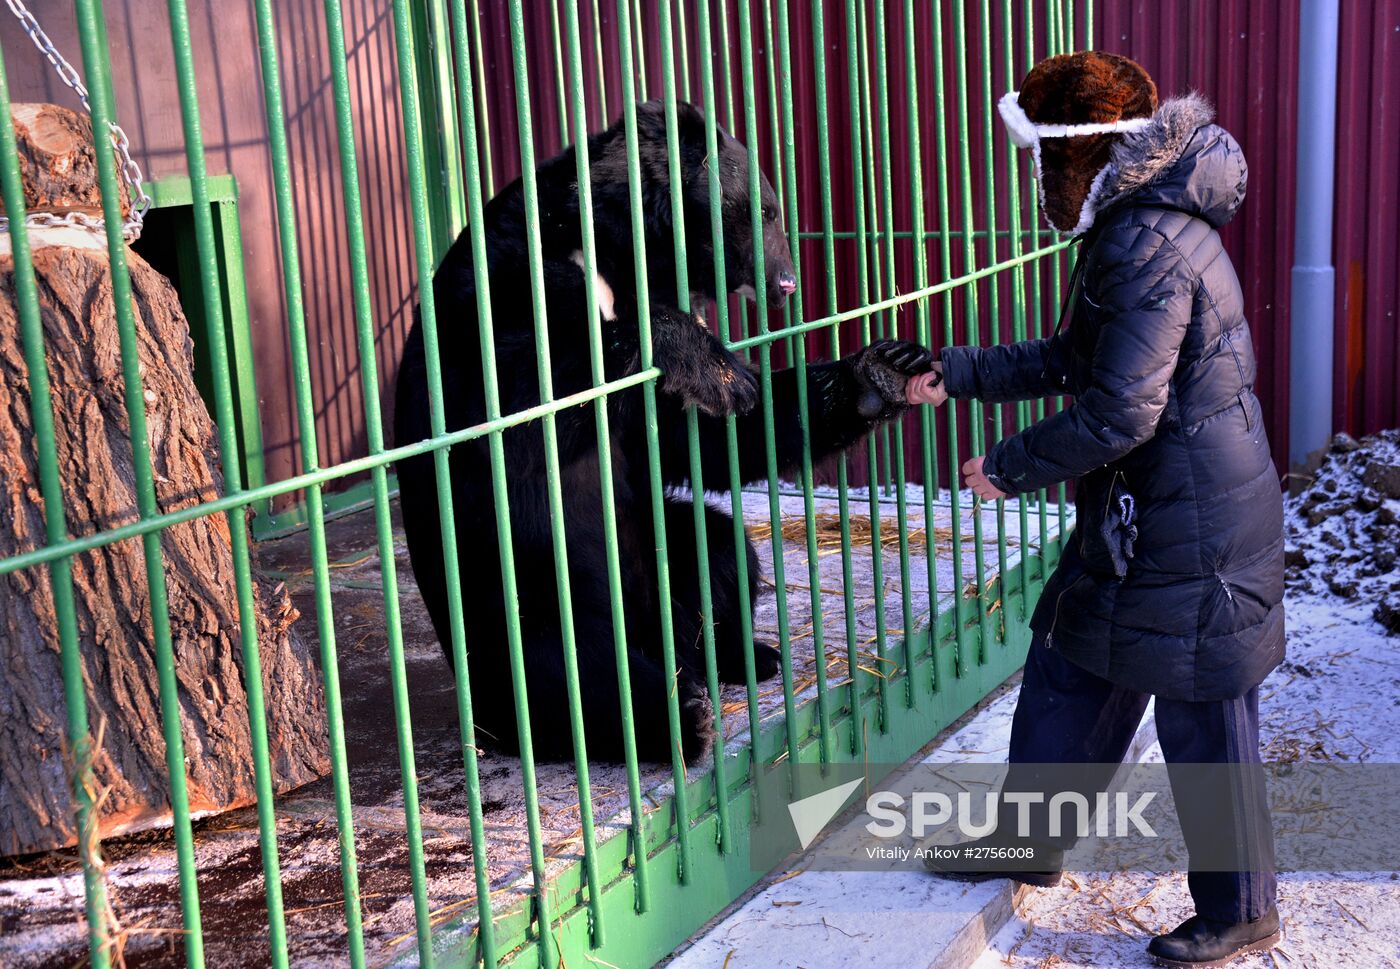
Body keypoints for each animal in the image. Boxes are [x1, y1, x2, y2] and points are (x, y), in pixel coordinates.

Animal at [394, 100, 929, 767]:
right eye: (764, 212)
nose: (786, 283)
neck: (614, 250)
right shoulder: (501, 286)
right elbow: (509, 403)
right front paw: (709, 362)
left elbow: (699, 438)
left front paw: (881, 370)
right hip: (523, 603)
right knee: (579, 675)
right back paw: (680, 717)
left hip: (657, 552)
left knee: (720, 552)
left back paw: (746, 656)